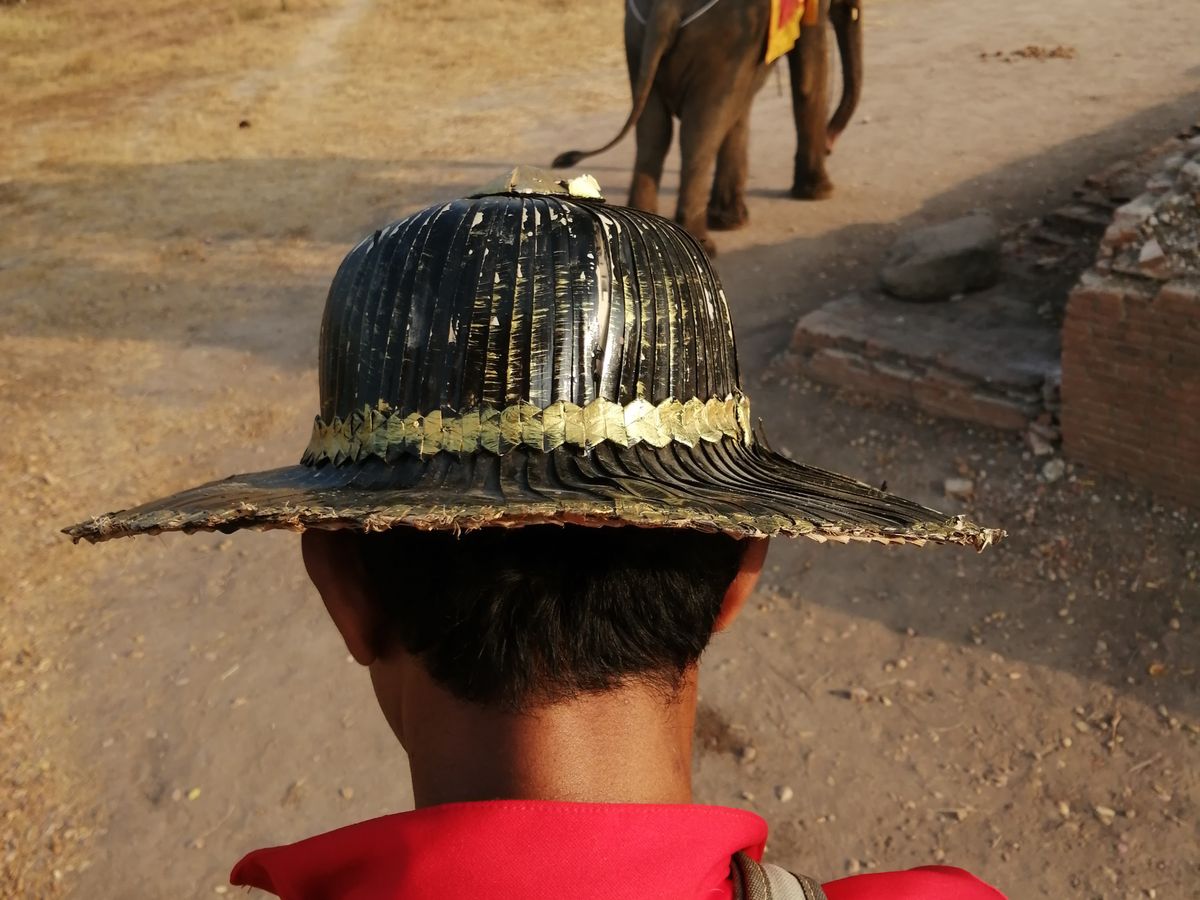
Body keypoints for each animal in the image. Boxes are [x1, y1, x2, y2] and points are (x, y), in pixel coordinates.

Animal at [552, 0, 862, 254]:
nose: (830, 145)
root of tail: (666, 7)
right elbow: (808, 76)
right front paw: (820, 192)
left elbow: (739, 107)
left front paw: (729, 221)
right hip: (720, 42)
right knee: (698, 134)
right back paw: (702, 245)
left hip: (636, 39)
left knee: (654, 133)